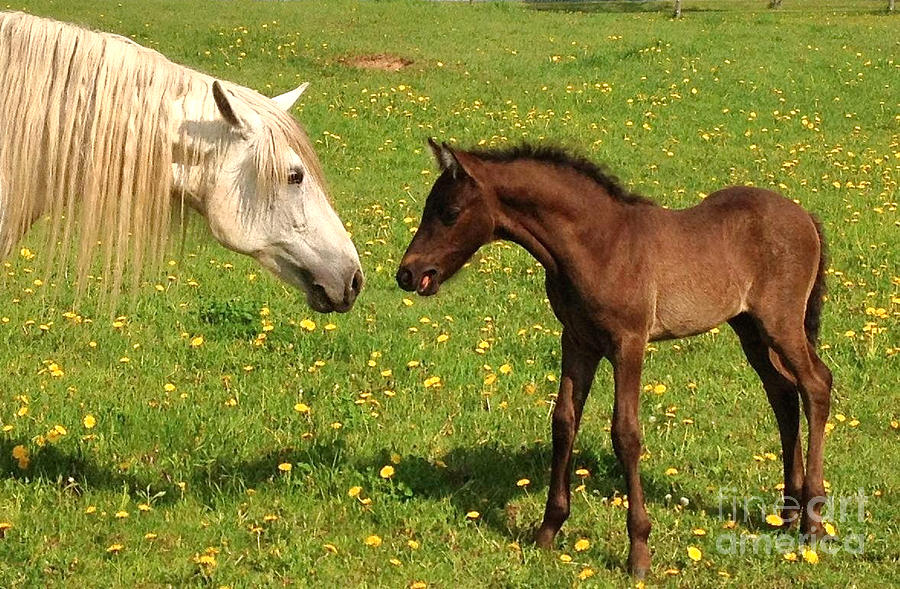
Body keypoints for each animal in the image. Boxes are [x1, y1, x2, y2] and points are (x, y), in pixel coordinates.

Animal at [398, 139, 832, 580]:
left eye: (450, 212)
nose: (408, 274)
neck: (601, 245)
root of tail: (806, 217)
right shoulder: (577, 342)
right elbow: (563, 422)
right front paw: (548, 530)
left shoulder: (629, 343)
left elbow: (626, 433)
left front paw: (639, 552)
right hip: (750, 330)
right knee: (782, 395)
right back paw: (788, 513)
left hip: (780, 324)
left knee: (815, 384)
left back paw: (813, 523)